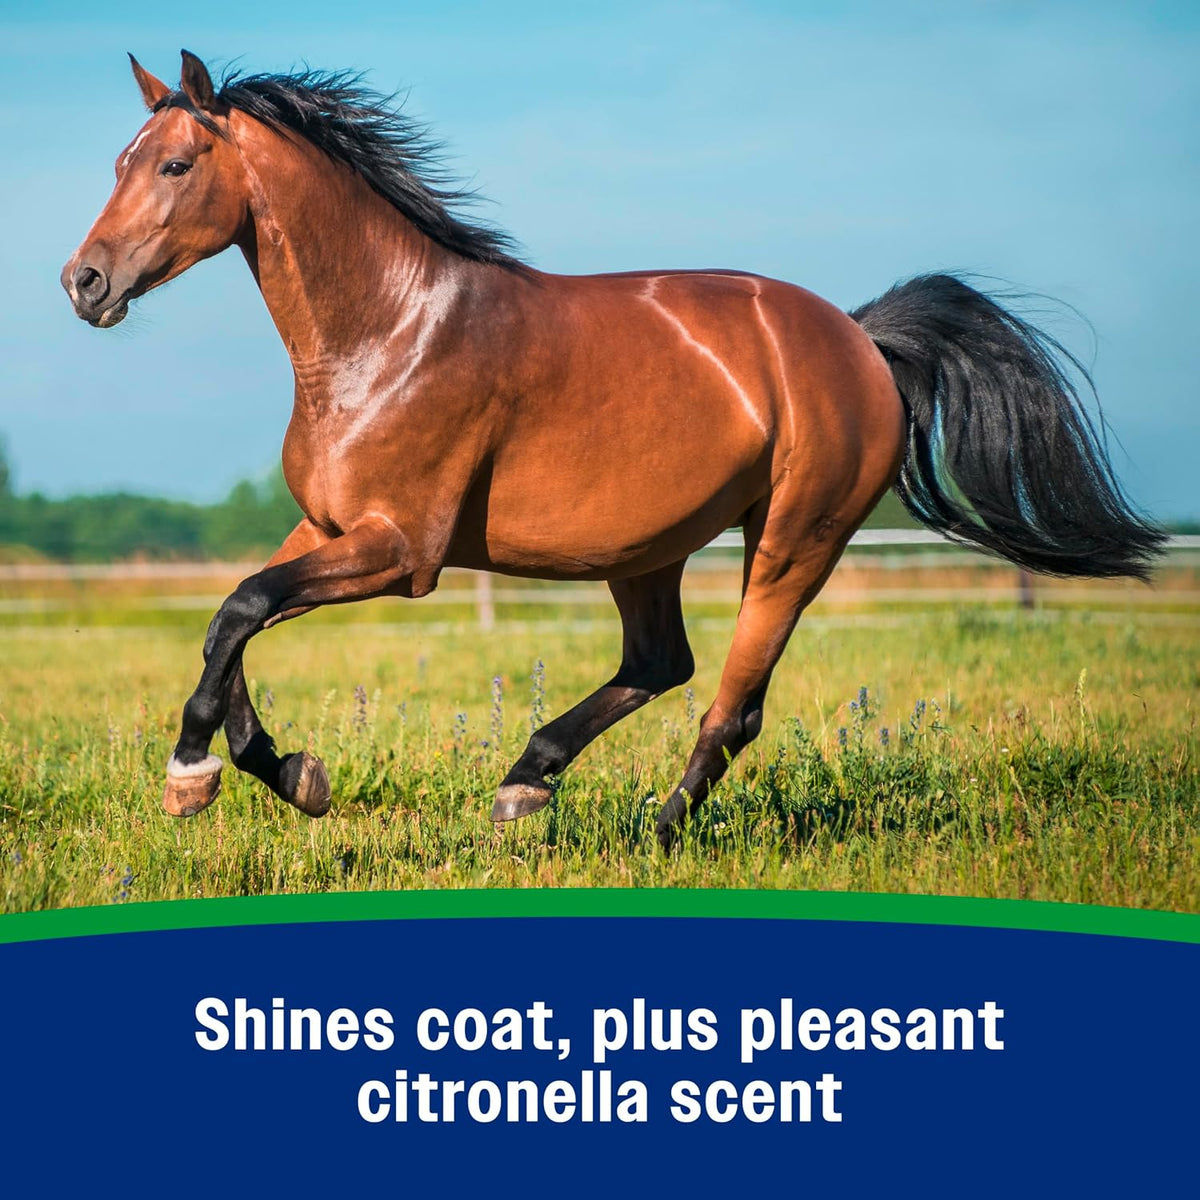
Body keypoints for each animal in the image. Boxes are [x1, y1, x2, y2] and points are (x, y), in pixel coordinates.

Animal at [62, 51, 1165, 847]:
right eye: (119, 163)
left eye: (174, 164)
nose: (84, 281)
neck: (387, 331)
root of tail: (859, 340)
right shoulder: (327, 527)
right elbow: (231, 623)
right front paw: (288, 774)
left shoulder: (401, 551)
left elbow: (241, 607)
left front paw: (193, 776)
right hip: (646, 550)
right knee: (660, 662)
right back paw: (525, 784)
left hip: (795, 542)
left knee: (732, 705)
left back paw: (653, 831)